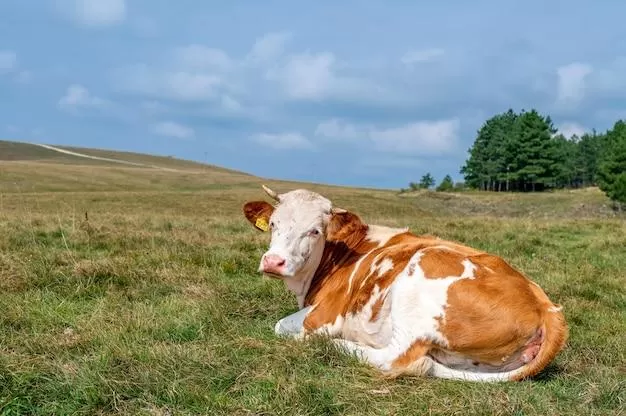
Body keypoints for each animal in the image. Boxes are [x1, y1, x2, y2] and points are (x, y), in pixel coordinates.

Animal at [241, 187, 568, 382]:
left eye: (315, 231)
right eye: (274, 224)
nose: (274, 262)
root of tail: (546, 306)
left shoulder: (325, 314)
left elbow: (283, 327)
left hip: (421, 281)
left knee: (400, 359)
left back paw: (339, 345)